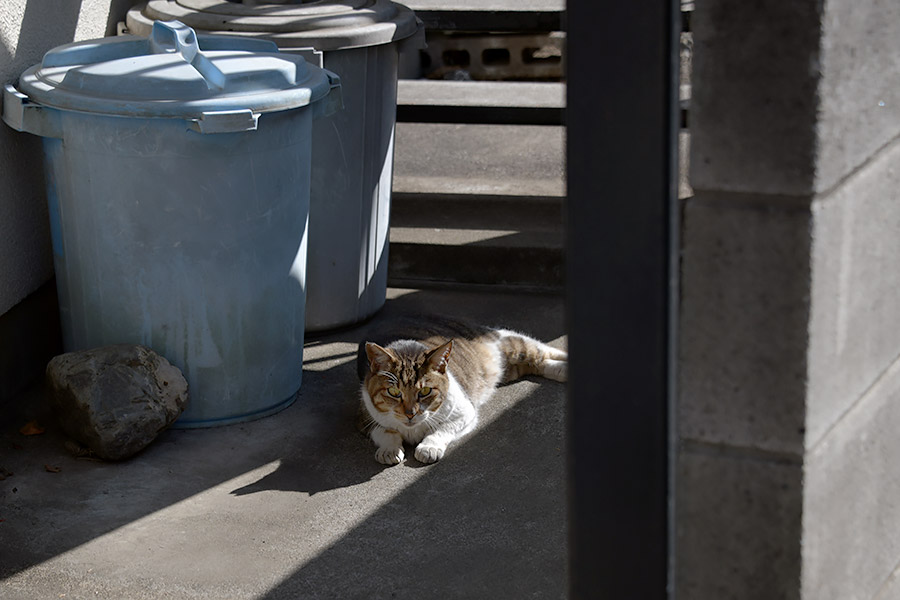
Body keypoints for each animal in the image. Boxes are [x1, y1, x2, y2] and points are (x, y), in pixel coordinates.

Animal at [356, 316, 568, 466]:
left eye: (425, 391)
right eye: (394, 392)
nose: (410, 414)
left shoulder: (465, 412)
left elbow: (442, 429)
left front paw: (428, 447)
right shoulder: (367, 419)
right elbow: (386, 432)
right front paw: (390, 450)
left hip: (516, 347)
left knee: (546, 351)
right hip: (512, 368)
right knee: (539, 364)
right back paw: (562, 371)